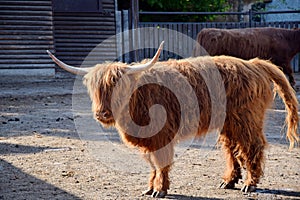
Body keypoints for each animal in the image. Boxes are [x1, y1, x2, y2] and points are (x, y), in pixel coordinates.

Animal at [47, 43, 298, 198]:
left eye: (119, 86)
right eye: (95, 89)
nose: (102, 114)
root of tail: (253, 63)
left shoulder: (161, 134)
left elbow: (161, 162)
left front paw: (160, 189)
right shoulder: (148, 139)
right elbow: (151, 163)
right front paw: (150, 188)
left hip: (247, 118)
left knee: (252, 145)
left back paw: (250, 184)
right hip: (229, 121)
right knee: (232, 148)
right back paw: (228, 181)